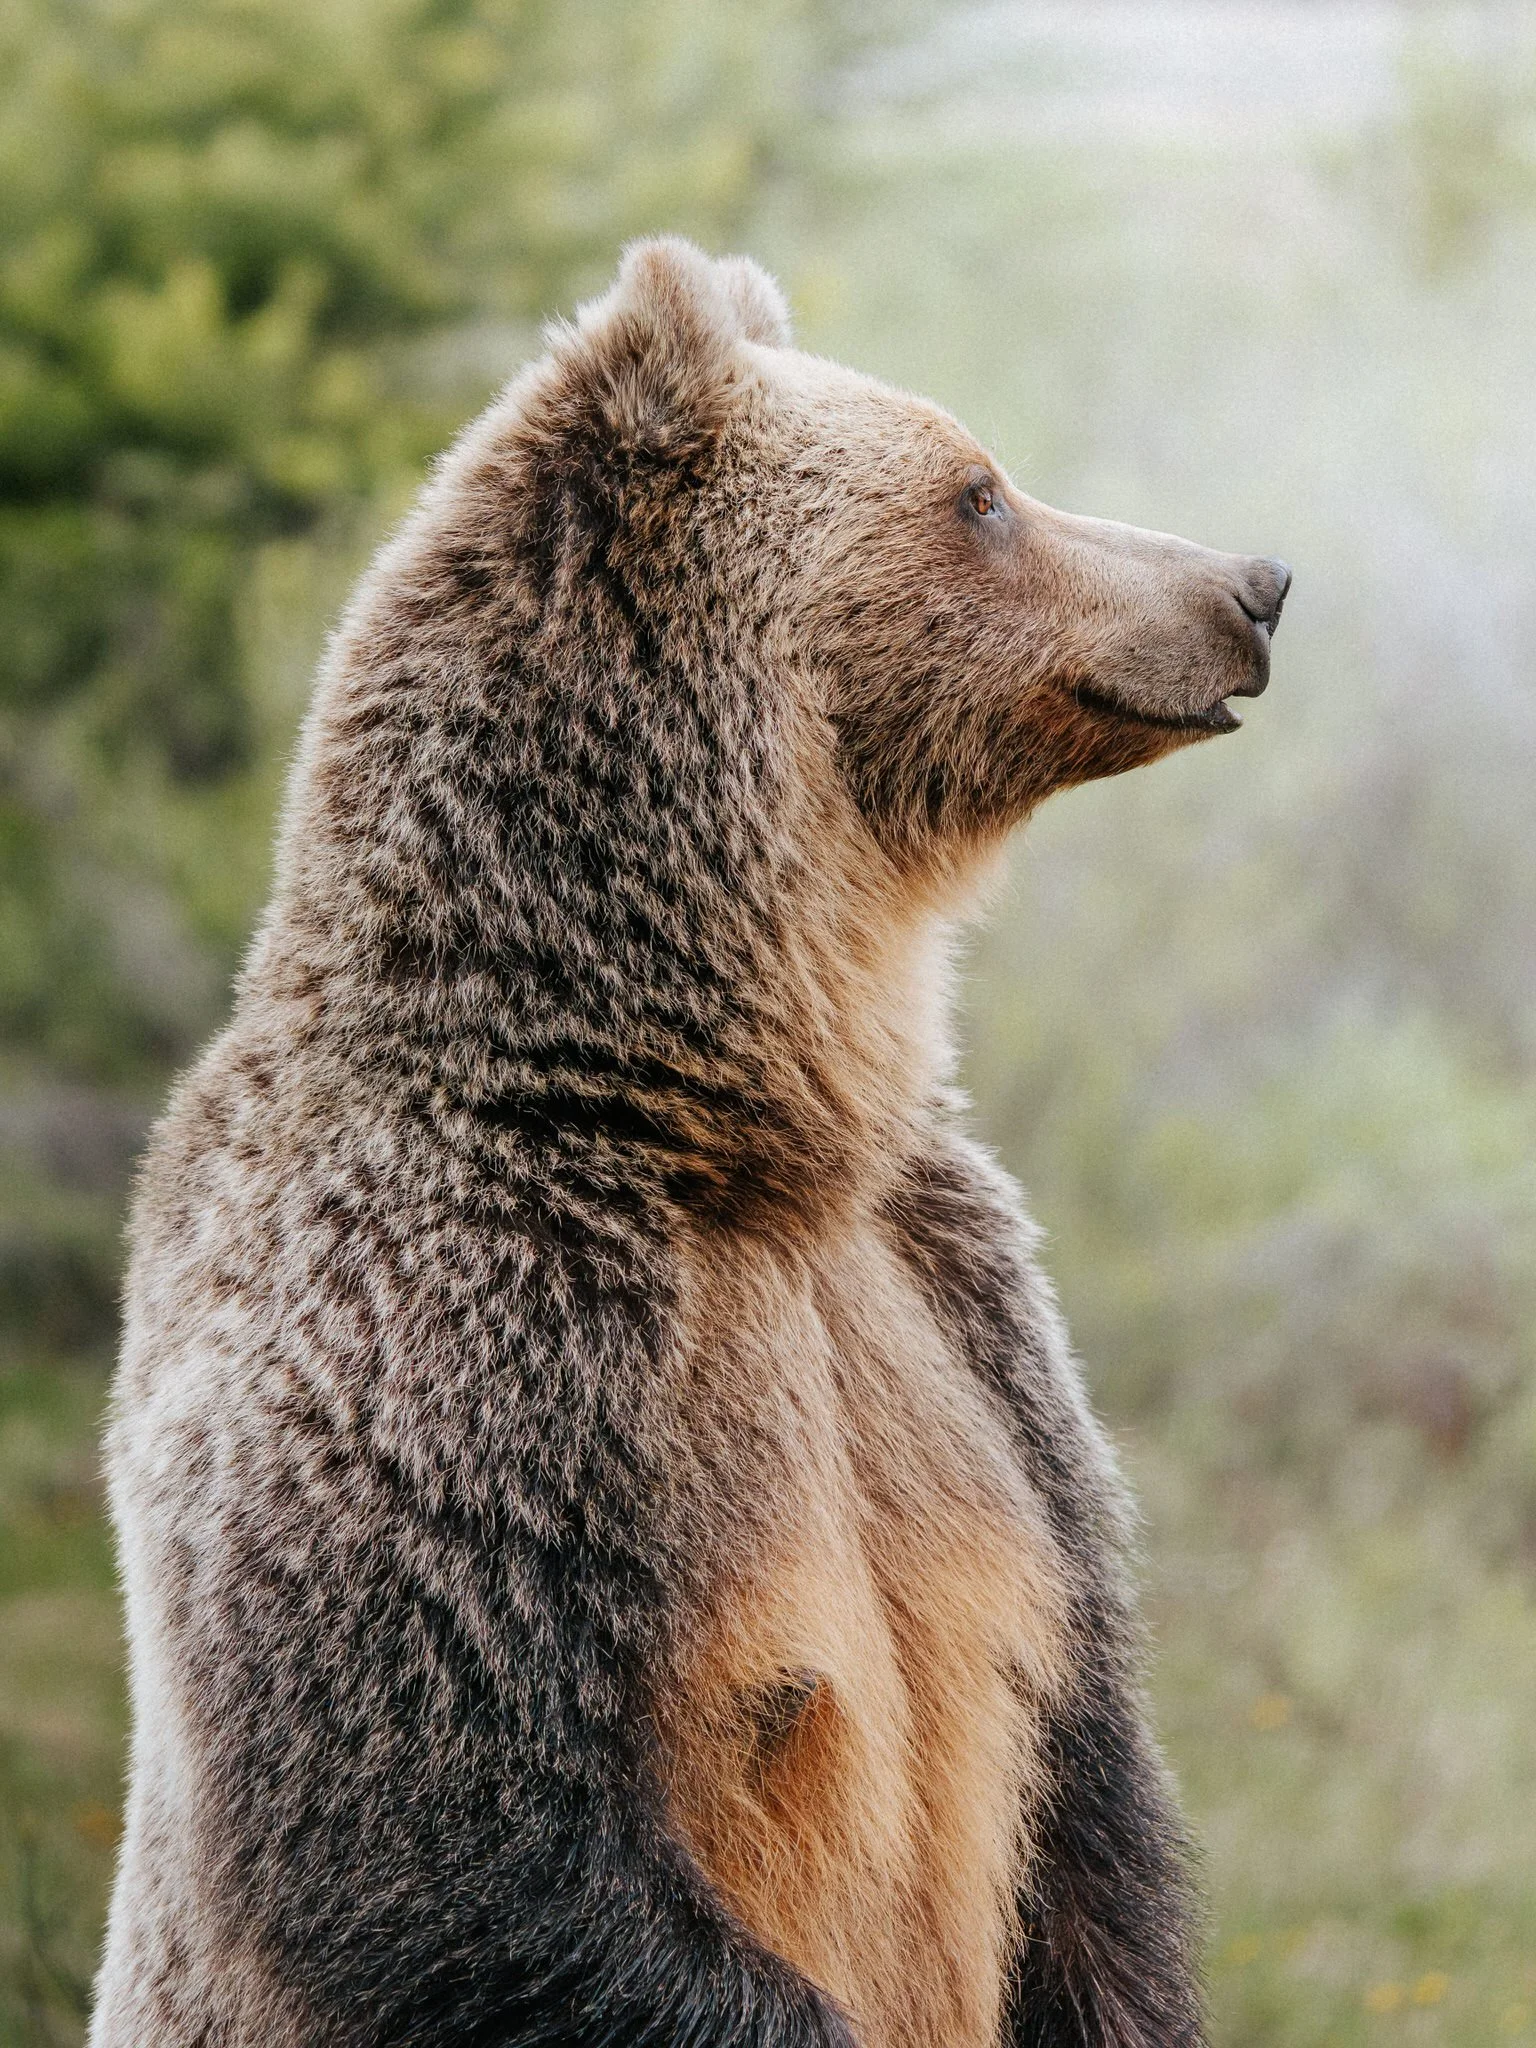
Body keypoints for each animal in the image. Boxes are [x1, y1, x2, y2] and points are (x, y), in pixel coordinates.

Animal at [92, 238, 1289, 2048]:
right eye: (980, 491)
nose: (1254, 582)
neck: (714, 1119)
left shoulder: (959, 1304)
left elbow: (1085, 1777)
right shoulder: (464, 1339)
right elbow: (446, 1832)